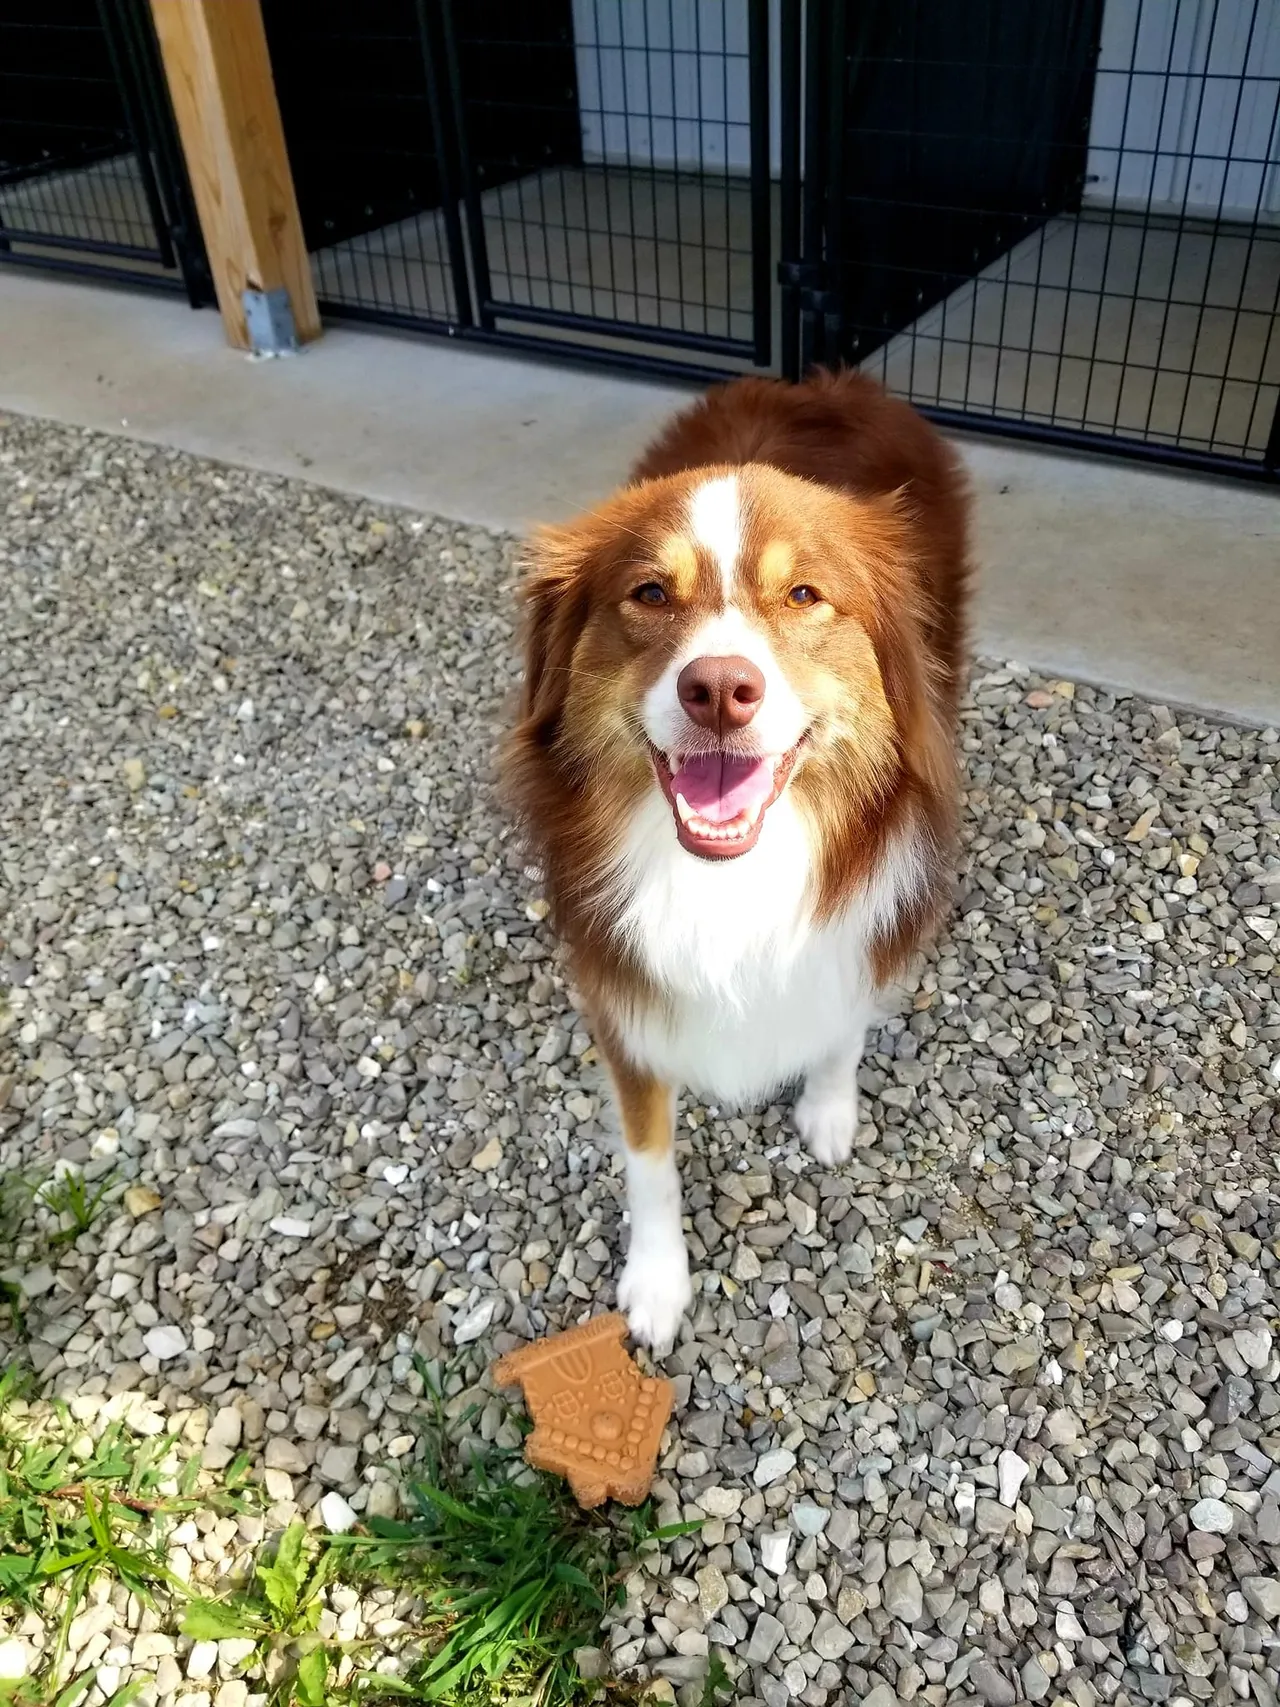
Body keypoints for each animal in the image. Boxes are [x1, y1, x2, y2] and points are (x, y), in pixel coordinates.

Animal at [501, 370, 969, 1345]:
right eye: (648, 593)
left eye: (803, 595)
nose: (718, 688)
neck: (728, 881)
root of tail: (830, 378)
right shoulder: (624, 1002)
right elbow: (648, 1159)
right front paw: (656, 1282)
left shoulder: (860, 926)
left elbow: (841, 1020)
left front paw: (828, 1110)